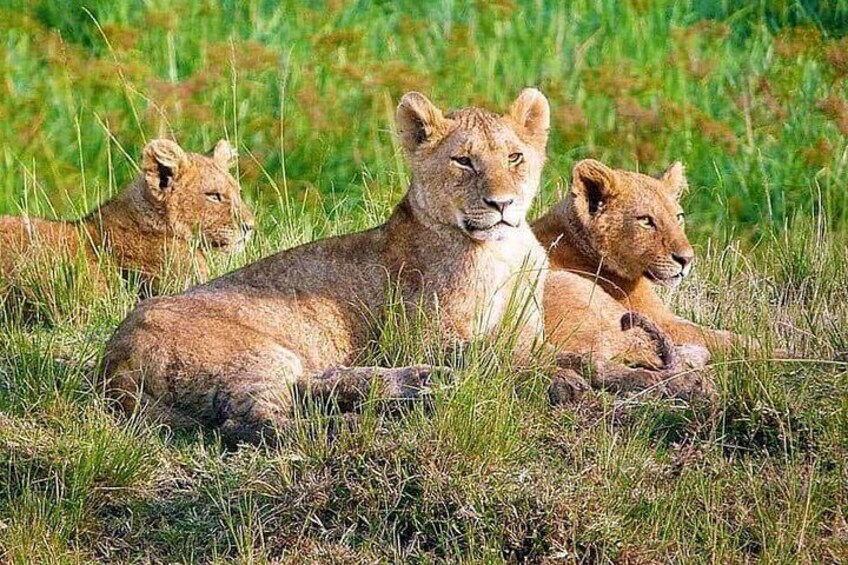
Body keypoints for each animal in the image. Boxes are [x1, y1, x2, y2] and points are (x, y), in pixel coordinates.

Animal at [104, 88, 556, 446]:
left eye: (515, 157)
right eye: (463, 161)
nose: (502, 204)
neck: (504, 253)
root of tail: (111, 359)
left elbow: (527, 346)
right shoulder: (419, 337)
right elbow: (496, 353)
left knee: (310, 386)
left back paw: (419, 386)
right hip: (256, 353)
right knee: (249, 422)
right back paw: (362, 421)